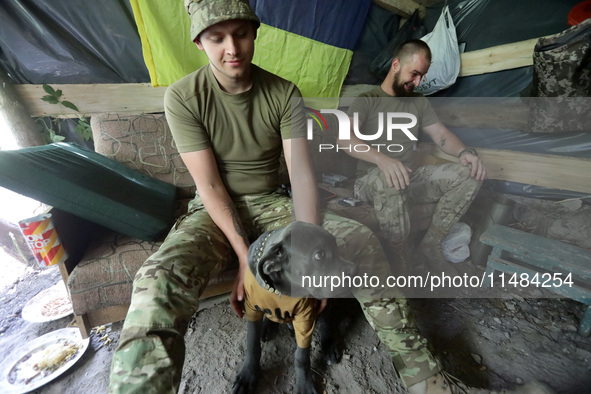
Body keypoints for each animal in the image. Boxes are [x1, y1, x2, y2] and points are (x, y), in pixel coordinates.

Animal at [234, 222, 358, 394]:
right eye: (319, 255)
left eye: (335, 245)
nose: (356, 271)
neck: (281, 290)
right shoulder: (252, 310)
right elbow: (252, 345)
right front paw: (248, 375)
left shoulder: (305, 318)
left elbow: (301, 356)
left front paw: (304, 384)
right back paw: (266, 327)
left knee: (326, 323)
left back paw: (328, 346)